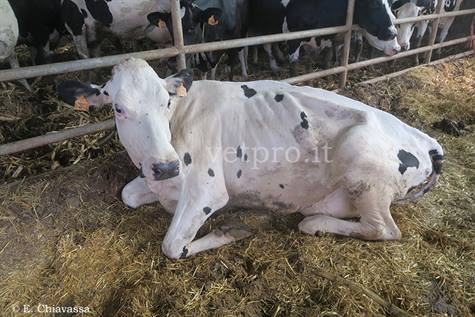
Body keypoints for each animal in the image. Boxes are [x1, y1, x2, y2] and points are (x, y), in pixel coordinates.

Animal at [57, 58, 444, 258]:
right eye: (118, 108)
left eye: (165, 101)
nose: (166, 166)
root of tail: (426, 140)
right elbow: (128, 194)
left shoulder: (207, 190)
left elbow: (172, 246)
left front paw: (232, 230)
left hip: (363, 162)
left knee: (385, 229)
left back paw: (315, 224)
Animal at [249, 0, 402, 71]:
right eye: (375, 3)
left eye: (390, 3)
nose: (397, 48)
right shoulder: (294, 39)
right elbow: (294, 65)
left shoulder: (329, 37)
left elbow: (327, 60)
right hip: (264, 25)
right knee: (267, 45)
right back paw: (274, 66)